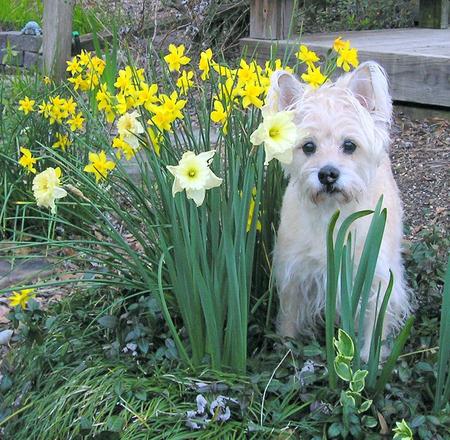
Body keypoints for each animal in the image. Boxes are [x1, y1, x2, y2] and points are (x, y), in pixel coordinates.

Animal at [268, 60, 410, 360]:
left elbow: (375, 323)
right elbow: (289, 314)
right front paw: (286, 348)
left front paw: (368, 358)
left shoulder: (376, 277)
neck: (332, 215)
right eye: (308, 146)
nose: (328, 174)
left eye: (349, 145)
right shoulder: (294, 272)